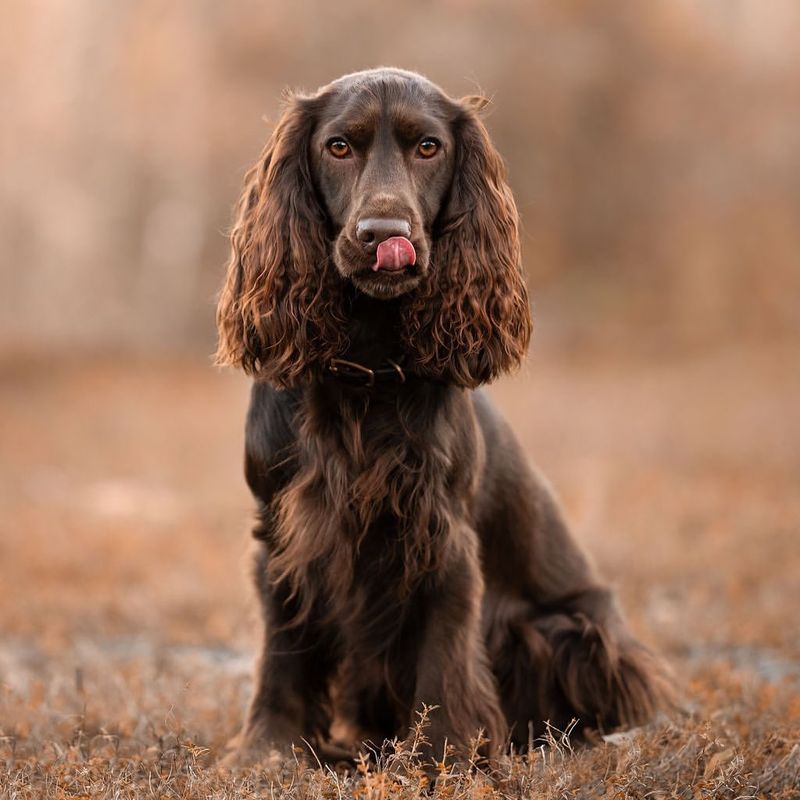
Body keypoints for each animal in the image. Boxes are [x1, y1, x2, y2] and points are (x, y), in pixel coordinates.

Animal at [214, 67, 668, 764]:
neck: (365, 368)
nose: (382, 233)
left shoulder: (441, 535)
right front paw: (269, 749)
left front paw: (443, 756)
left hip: (571, 631)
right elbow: (283, 648)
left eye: (428, 147)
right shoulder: (282, 529)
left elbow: (443, 656)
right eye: (338, 147)